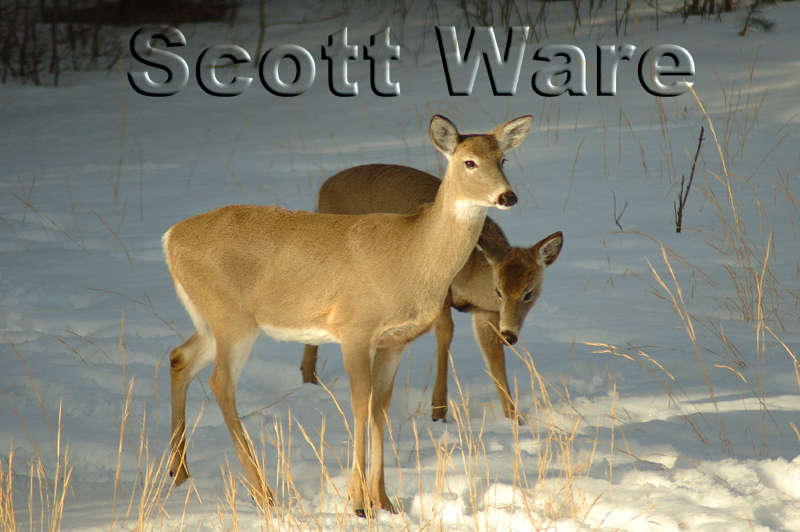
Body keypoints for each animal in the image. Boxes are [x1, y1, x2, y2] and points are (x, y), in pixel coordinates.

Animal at [162, 114, 533, 517]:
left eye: (502, 159)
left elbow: (379, 406)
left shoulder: (394, 340)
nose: (508, 196)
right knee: (220, 384)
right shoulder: (354, 327)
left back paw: (179, 474)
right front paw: (358, 502)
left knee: (179, 357)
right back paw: (263, 494)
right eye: (469, 162)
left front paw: (384, 501)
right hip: (232, 318)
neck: (413, 255)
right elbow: (359, 403)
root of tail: (170, 238)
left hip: (209, 320)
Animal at [300, 165, 563, 421]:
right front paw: (438, 409)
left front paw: (513, 418)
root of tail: (322, 189)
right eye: (498, 290)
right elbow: (445, 333)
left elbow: (494, 357)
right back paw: (309, 379)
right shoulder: (440, 292)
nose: (510, 335)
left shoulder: (485, 312)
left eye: (529, 293)